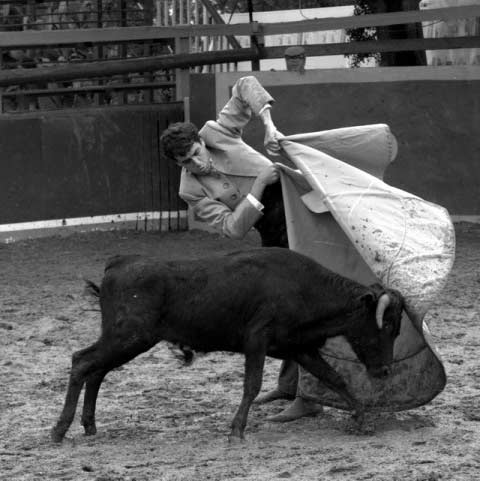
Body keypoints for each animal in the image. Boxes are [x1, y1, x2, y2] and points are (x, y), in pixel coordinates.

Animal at [51, 246, 404, 440]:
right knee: (82, 361)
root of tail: (119, 262)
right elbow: (252, 384)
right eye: (386, 325)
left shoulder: (299, 348)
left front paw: (362, 418)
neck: (304, 288)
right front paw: (237, 430)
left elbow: (335, 378)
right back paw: (60, 429)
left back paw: (89, 426)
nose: (386, 371)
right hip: (128, 337)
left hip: (123, 339)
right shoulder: (257, 341)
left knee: (96, 371)